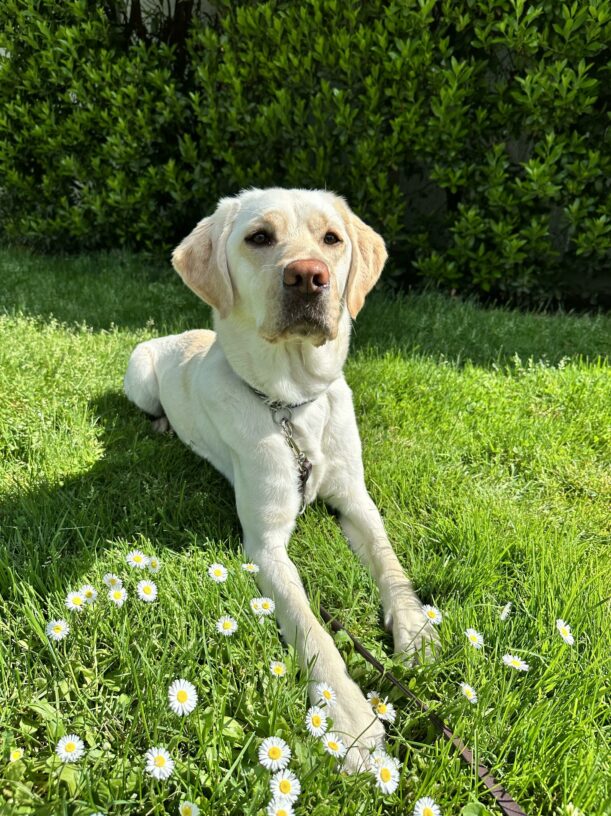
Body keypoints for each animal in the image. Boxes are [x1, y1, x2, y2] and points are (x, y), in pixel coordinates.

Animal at [124, 186, 438, 772]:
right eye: (259, 237)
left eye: (332, 239)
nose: (309, 276)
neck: (291, 406)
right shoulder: (265, 545)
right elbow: (310, 627)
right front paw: (349, 719)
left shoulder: (356, 499)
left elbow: (389, 562)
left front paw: (415, 627)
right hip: (140, 376)